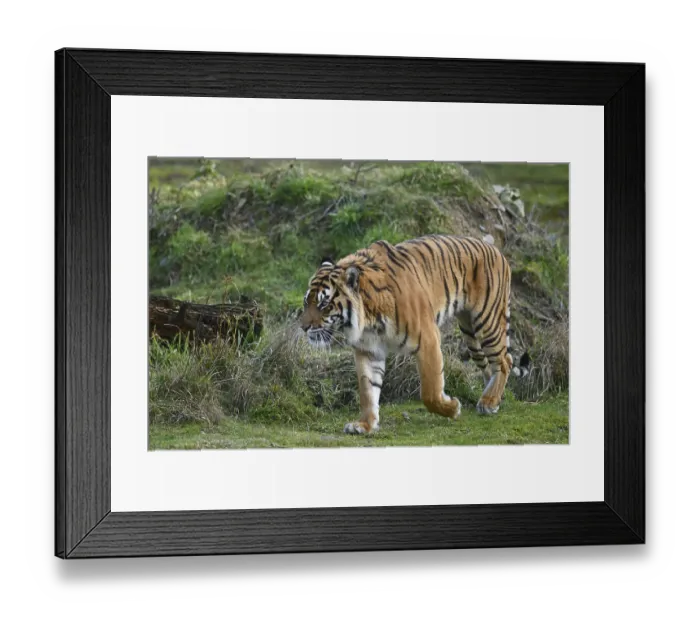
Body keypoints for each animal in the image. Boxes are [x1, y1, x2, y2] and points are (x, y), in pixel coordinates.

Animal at [299, 234, 529, 435]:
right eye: (306, 301)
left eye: (324, 304)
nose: (303, 327)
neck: (369, 319)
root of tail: (493, 247)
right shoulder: (368, 350)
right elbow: (367, 390)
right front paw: (365, 425)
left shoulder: (428, 338)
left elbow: (430, 391)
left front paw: (452, 408)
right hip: (470, 332)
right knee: (491, 366)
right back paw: (491, 399)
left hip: (487, 320)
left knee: (505, 360)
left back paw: (489, 402)